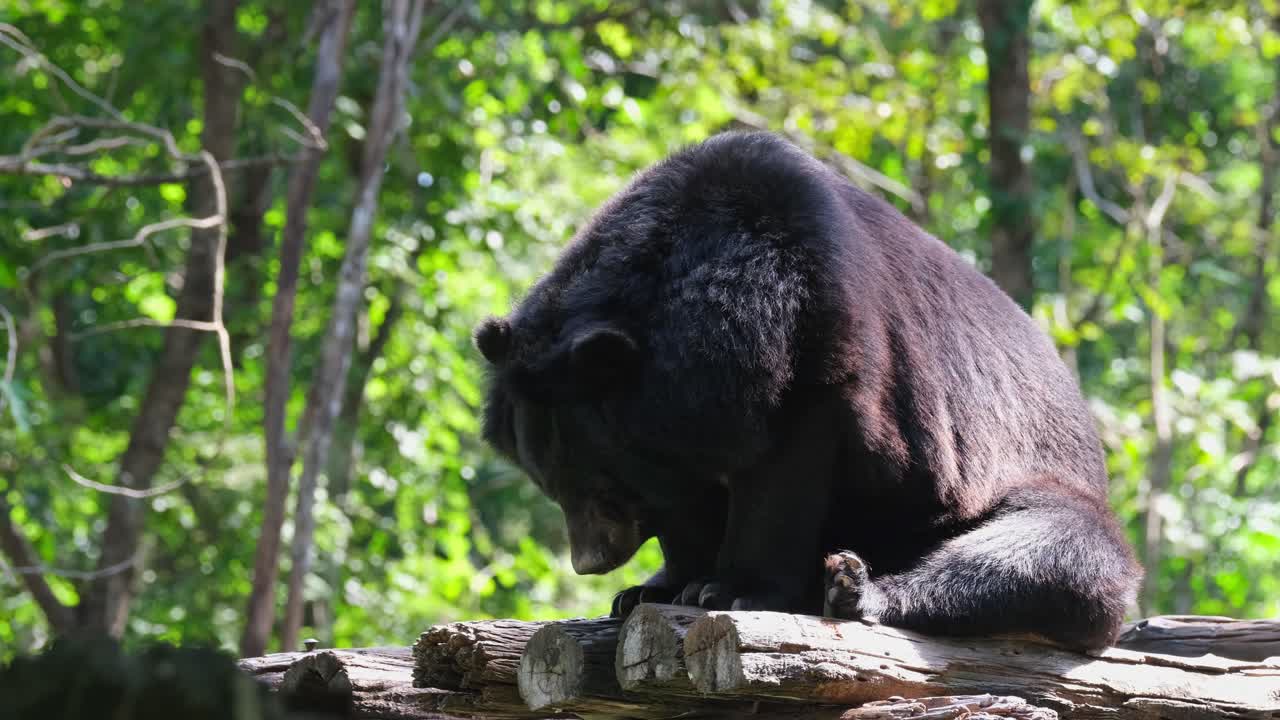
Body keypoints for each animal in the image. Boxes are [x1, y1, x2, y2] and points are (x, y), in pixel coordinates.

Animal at [474, 131, 1141, 651]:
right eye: (551, 487)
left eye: (601, 489)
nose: (591, 561)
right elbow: (683, 506)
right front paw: (657, 587)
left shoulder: (819, 347)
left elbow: (786, 474)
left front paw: (730, 589)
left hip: (1017, 486)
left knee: (1049, 552)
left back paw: (854, 588)